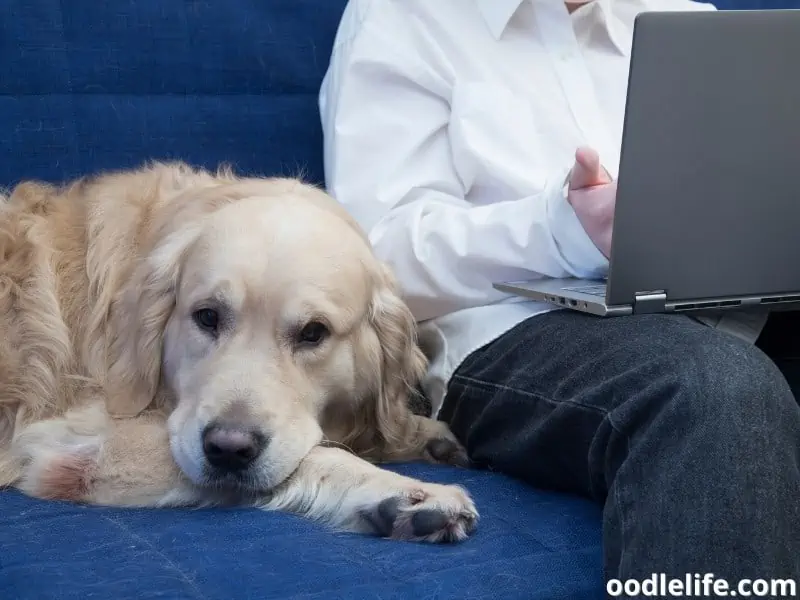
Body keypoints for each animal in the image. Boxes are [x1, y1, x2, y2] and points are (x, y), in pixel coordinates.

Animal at [0, 163, 476, 544]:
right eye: (207, 316)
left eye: (313, 332)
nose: (228, 449)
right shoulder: (76, 445)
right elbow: (317, 455)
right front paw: (399, 492)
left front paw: (418, 435)